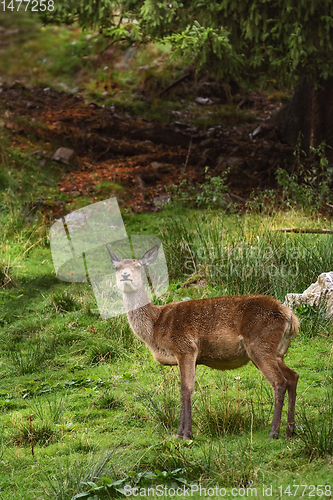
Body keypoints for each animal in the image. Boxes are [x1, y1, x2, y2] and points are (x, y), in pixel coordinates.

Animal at [105, 244, 298, 440]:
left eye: (138, 266)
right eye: (117, 267)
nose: (125, 275)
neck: (155, 328)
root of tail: (291, 317)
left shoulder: (185, 348)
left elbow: (186, 390)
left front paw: (186, 434)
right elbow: (186, 389)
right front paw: (179, 434)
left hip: (260, 345)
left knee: (279, 382)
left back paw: (274, 432)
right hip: (277, 352)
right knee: (293, 377)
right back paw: (290, 431)